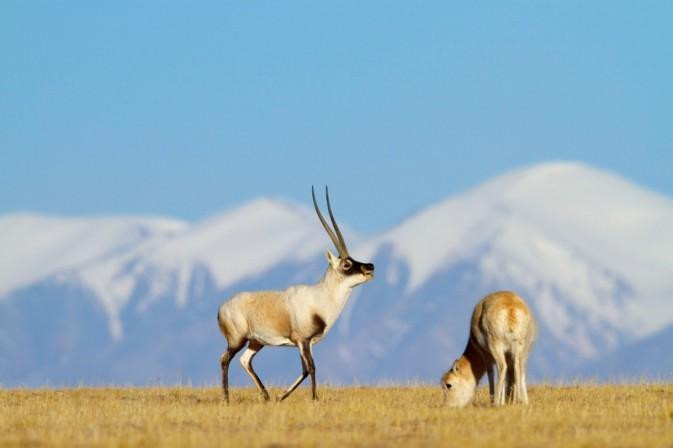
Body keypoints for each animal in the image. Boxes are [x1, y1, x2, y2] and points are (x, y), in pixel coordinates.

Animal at [215, 186, 372, 402]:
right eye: (347, 264)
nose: (370, 266)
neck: (320, 297)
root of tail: (222, 308)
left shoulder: (307, 343)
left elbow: (305, 370)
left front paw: (282, 396)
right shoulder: (302, 340)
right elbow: (312, 368)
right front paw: (314, 398)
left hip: (256, 342)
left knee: (245, 361)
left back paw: (266, 396)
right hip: (237, 340)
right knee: (224, 359)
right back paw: (226, 398)